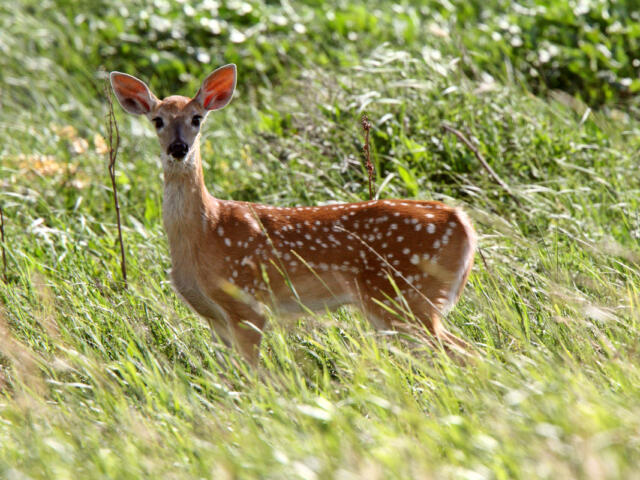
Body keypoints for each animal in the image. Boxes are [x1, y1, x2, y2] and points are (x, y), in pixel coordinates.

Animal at [110, 64, 477, 365]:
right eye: (157, 121)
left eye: (197, 119)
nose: (178, 148)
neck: (204, 229)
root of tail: (461, 222)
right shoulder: (215, 318)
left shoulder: (246, 303)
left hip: (404, 295)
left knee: (464, 352)